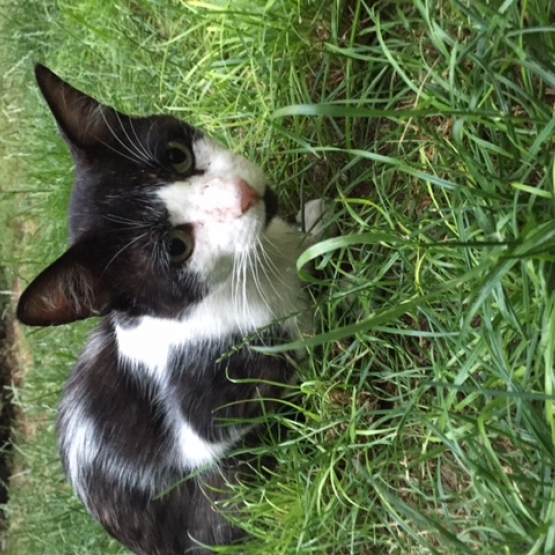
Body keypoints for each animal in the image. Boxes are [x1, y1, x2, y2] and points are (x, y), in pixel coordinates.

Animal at [17, 65, 324, 555]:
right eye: (177, 247)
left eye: (176, 155)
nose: (242, 195)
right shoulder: (205, 419)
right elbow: (293, 354)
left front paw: (311, 232)